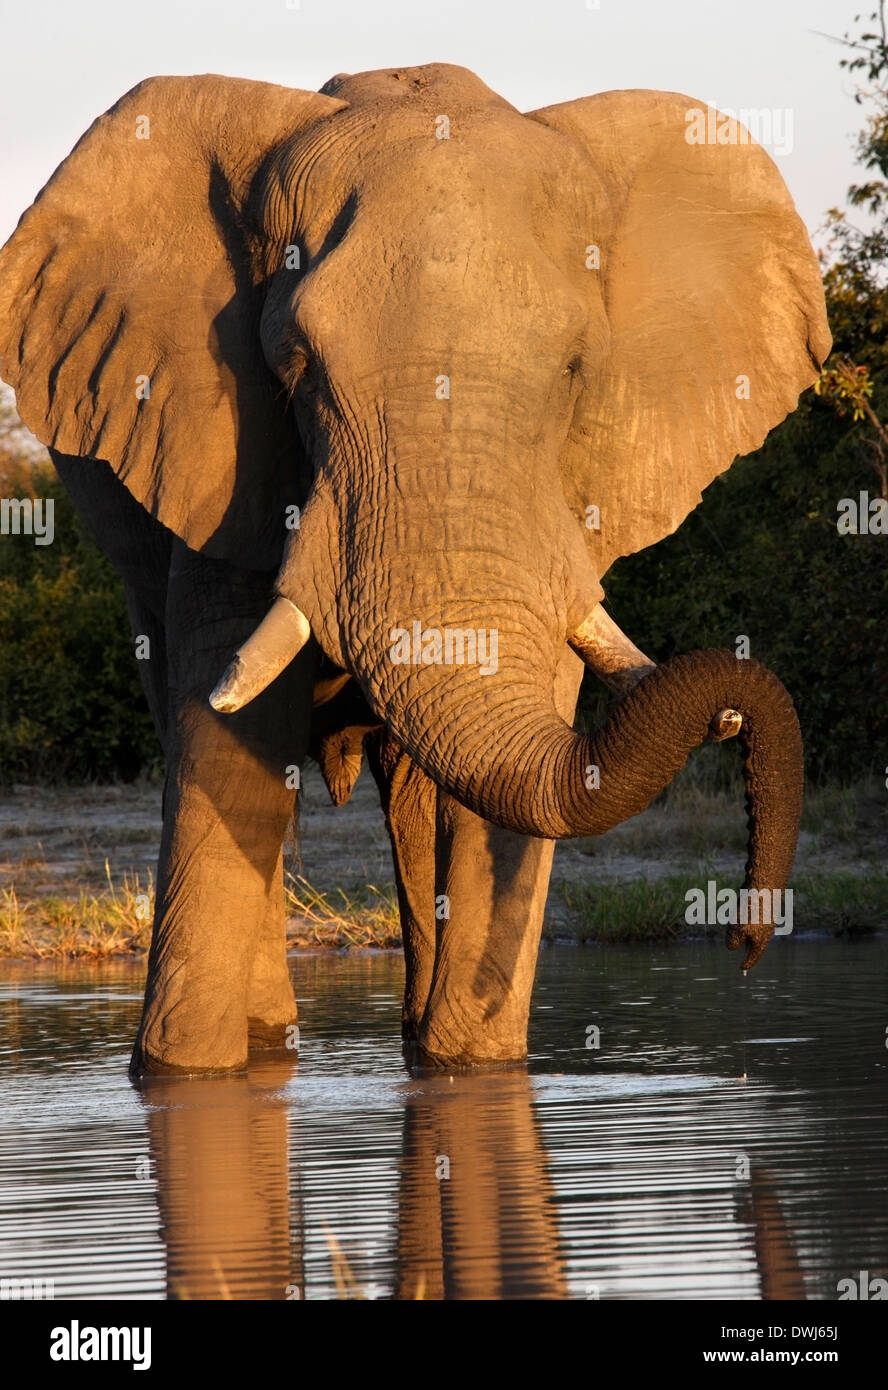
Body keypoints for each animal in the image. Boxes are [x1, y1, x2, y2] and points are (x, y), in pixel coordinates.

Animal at [0, 64, 831, 1076]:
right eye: (295, 367)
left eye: (576, 370)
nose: (746, 942)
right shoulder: (224, 450)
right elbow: (227, 732)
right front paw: (185, 1076)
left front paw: (471, 1072)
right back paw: (273, 1042)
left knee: (411, 788)